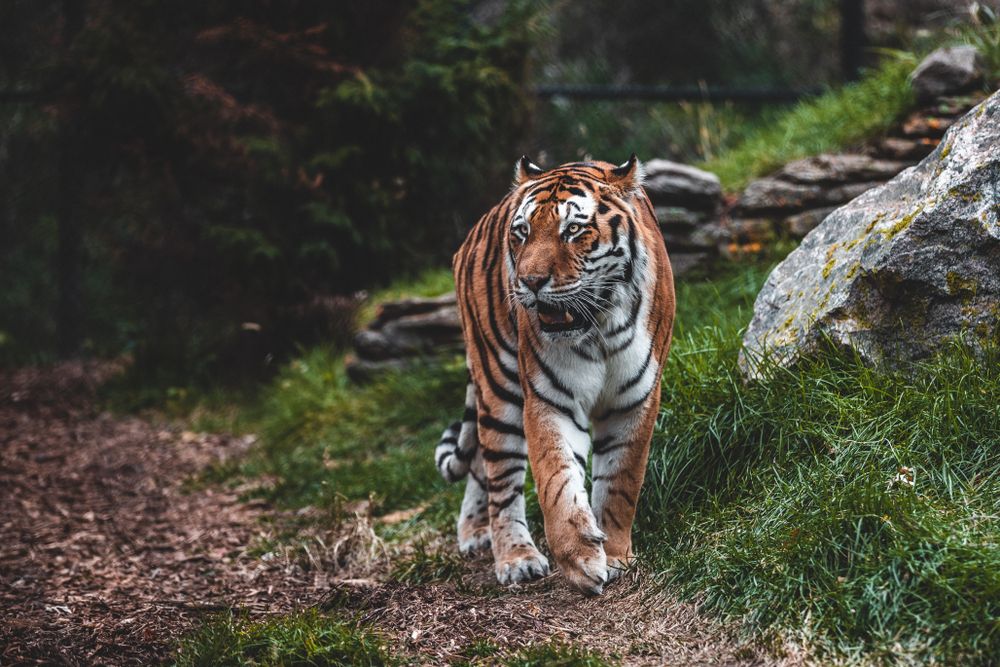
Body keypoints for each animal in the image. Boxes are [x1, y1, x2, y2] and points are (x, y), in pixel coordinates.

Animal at [434, 155, 675, 595]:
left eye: (573, 230)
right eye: (522, 233)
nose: (529, 282)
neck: (599, 327)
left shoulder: (635, 400)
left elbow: (620, 483)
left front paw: (615, 555)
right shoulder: (549, 400)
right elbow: (557, 483)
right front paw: (580, 559)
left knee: (479, 463)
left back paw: (476, 533)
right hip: (498, 387)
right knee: (499, 480)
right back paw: (514, 557)